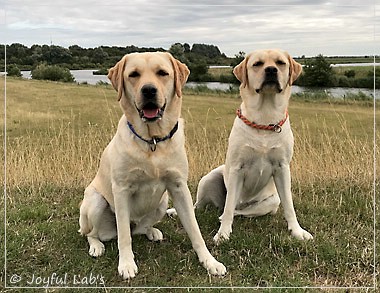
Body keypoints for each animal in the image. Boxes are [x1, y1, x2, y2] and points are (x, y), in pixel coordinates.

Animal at [77, 52, 226, 278]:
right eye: (133, 75)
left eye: (162, 73)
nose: (148, 90)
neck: (152, 140)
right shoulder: (121, 190)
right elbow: (124, 236)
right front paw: (126, 264)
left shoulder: (179, 187)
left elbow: (195, 230)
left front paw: (209, 261)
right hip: (96, 201)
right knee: (94, 232)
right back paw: (96, 246)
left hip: (162, 202)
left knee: (138, 229)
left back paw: (151, 231)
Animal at [194, 49, 314, 243]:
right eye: (257, 64)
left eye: (280, 63)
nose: (271, 70)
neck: (265, 118)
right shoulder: (236, 168)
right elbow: (228, 207)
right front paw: (223, 233)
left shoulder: (282, 168)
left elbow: (289, 206)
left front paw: (297, 231)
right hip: (208, 178)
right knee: (205, 206)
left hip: (272, 201)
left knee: (239, 211)